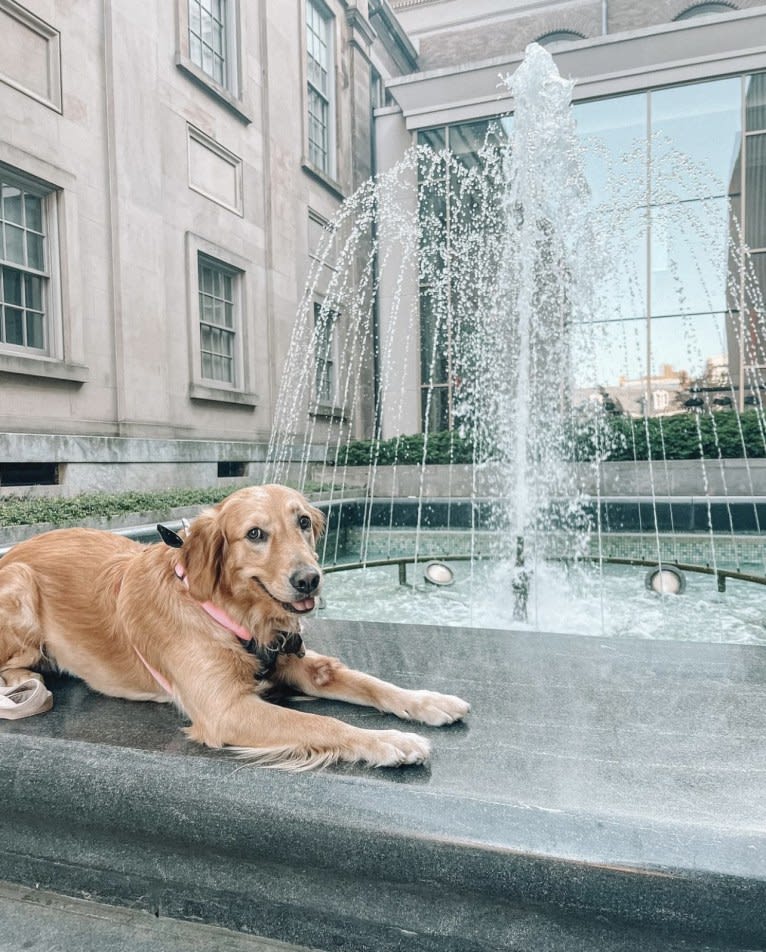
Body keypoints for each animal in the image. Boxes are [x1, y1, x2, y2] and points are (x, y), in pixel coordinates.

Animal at [0, 484, 472, 768]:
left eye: (303, 522)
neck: (234, 614)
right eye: (255, 534)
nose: (310, 579)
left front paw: (428, 701)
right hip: (20, 583)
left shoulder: (297, 659)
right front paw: (391, 741)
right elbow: (324, 725)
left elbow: (374, 684)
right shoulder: (225, 708)